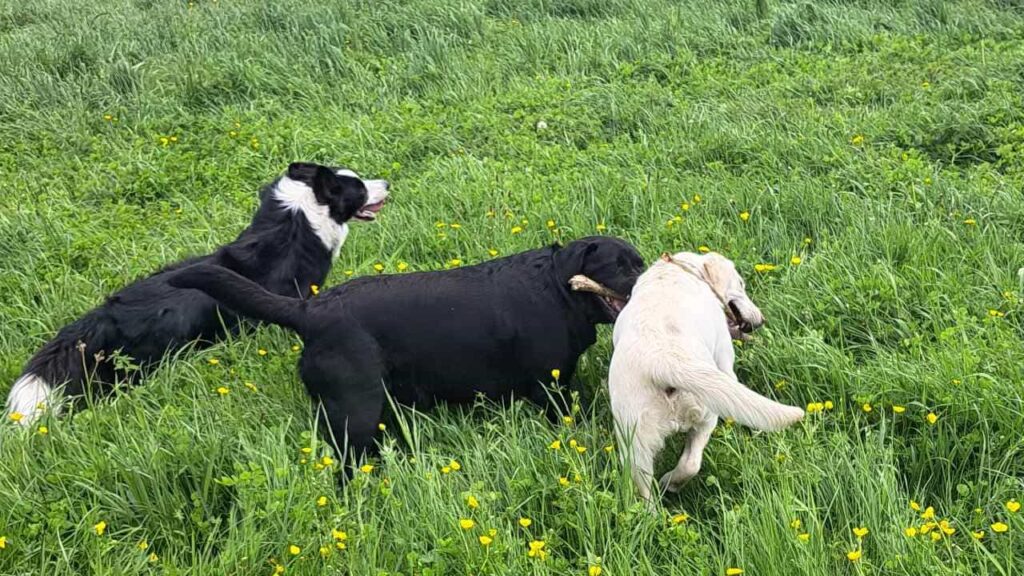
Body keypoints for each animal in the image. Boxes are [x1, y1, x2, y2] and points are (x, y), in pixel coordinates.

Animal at [171, 236, 643, 461]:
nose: (647, 277)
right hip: (356, 410)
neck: (558, 290)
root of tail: (309, 311)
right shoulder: (550, 386)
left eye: (639, 263)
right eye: (620, 267)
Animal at [602, 251, 802, 498]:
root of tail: (663, 359)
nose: (761, 320)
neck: (681, 270)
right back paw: (671, 482)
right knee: (692, 462)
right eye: (741, 284)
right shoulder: (725, 358)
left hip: (634, 445)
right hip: (707, 413)